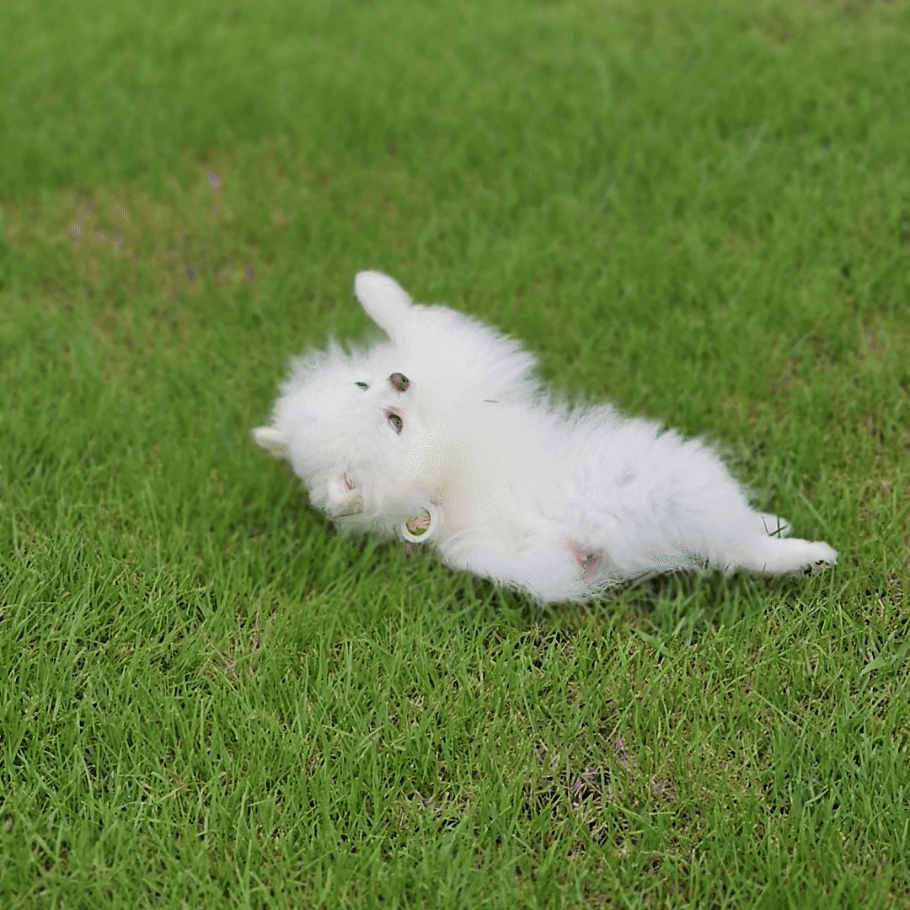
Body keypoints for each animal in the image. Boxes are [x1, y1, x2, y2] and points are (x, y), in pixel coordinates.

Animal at [254, 271, 837, 603]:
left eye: (364, 385)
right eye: (393, 422)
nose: (399, 379)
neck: (434, 480)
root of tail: (579, 533)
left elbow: (405, 321)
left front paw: (364, 284)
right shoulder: (454, 362)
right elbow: (415, 318)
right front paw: (374, 285)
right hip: (672, 478)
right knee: (738, 546)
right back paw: (804, 553)